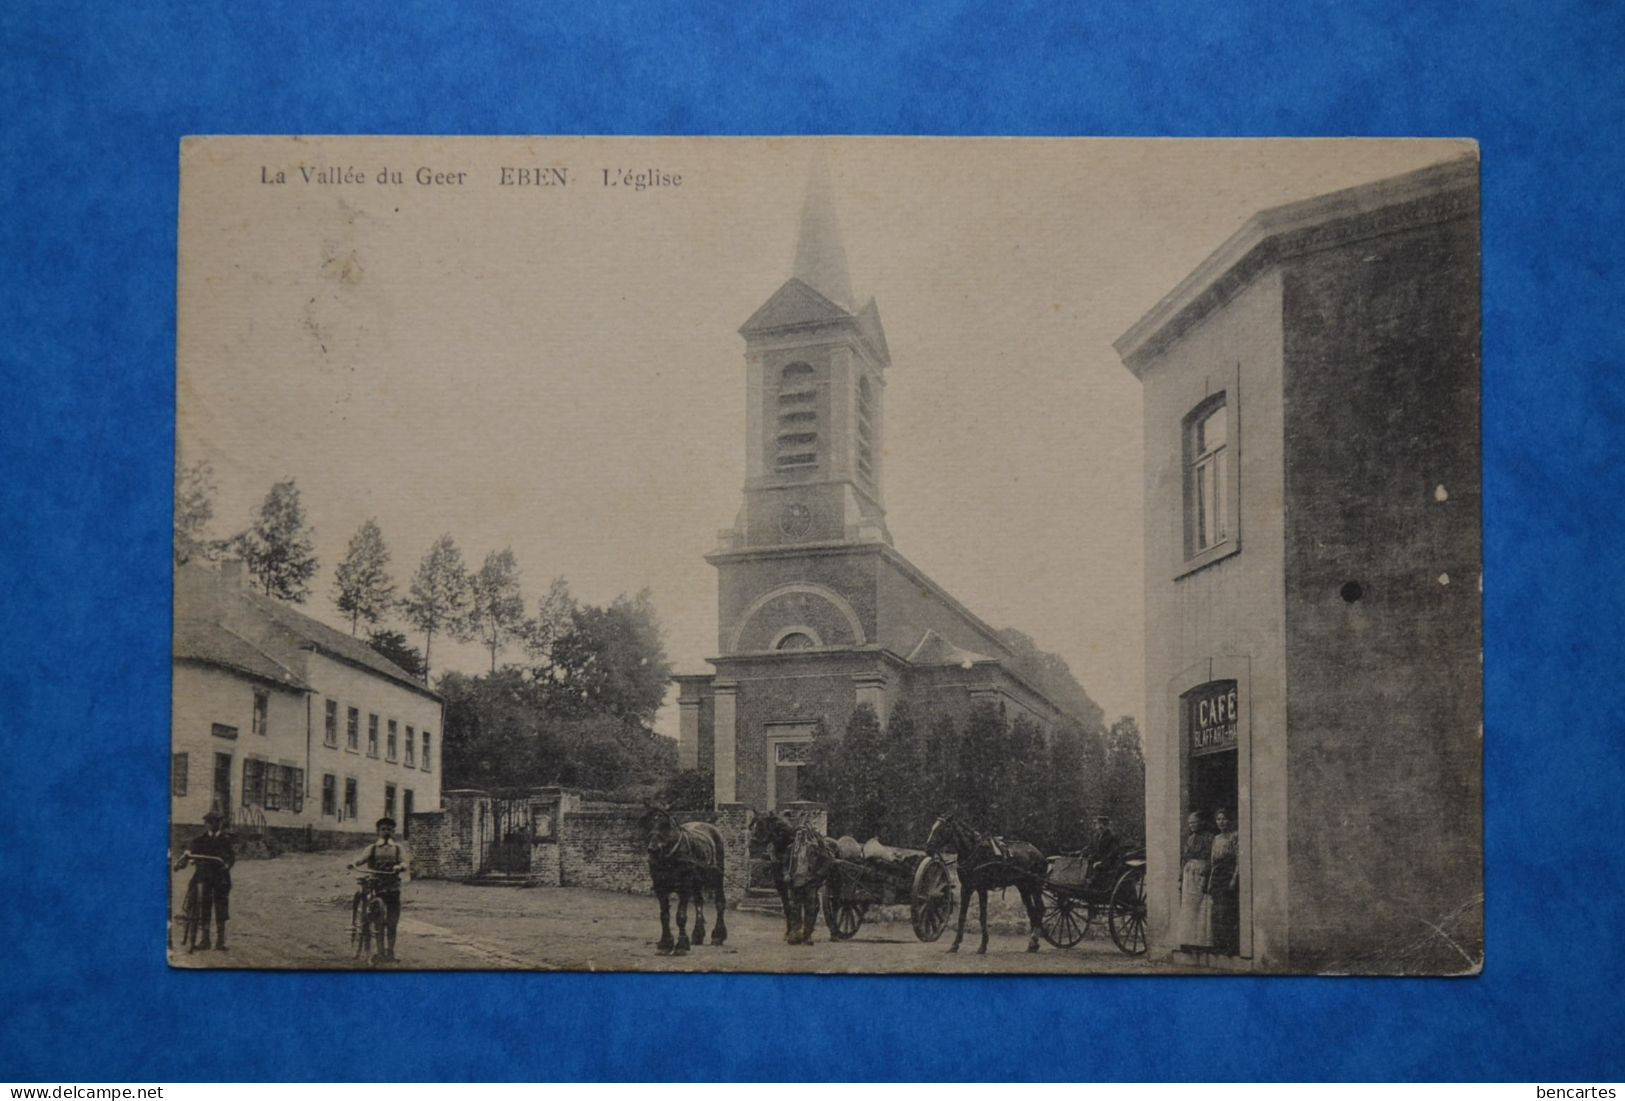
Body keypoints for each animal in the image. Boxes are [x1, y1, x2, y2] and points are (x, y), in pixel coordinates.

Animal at [640, 805, 731, 954]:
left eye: (666, 825)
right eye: (648, 822)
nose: (653, 850)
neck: (670, 857)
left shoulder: (684, 888)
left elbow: (681, 916)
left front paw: (681, 944)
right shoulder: (660, 889)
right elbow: (664, 915)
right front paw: (665, 943)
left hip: (717, 877)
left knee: (720, 903)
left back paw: (718, 936)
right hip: (697, 882)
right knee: (699, 902)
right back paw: (698, 935)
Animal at [923, 811, 1046, 954]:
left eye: (943, 828)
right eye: (933, 827)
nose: (928, 848)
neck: (973, 852)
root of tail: (1039, 854)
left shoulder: (982, 888)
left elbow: (983, 916)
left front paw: (982, 945)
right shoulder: (966, 888)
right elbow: (962, 916)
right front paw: (955, 944)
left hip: (1035, 886)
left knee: (1040, 909)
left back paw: (1034, 939)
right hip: (1023, 888)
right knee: (1032, 912)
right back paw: (1032, 944)